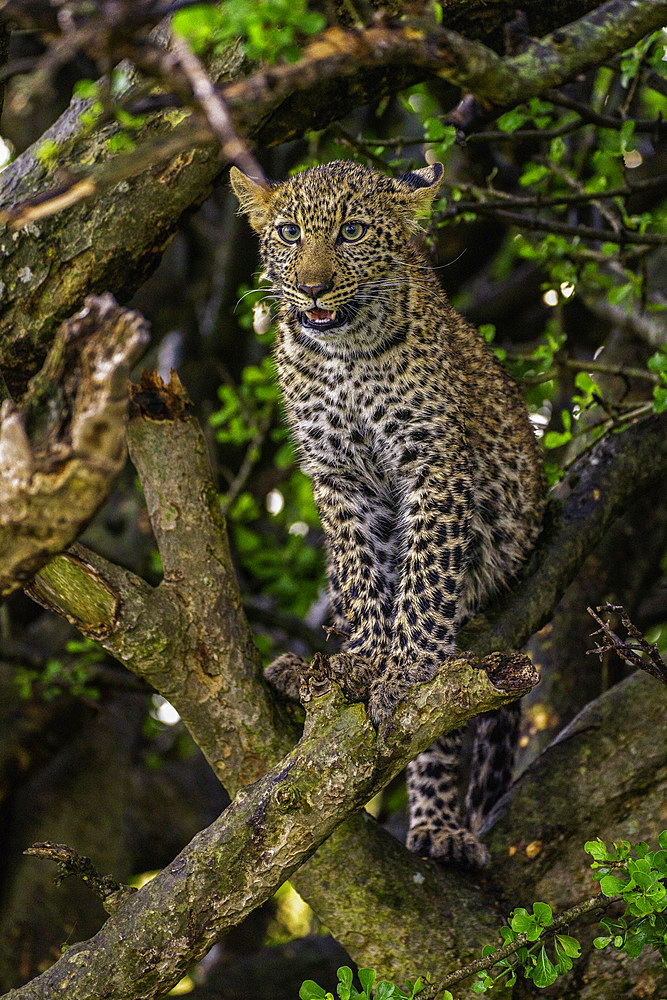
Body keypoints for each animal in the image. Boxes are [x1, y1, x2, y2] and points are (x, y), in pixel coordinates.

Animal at [232, 158, 544, 868]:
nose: (313, 288)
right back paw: (302, 668)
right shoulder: (338, 478)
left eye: (351, 231)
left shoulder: (434, 465)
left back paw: (440, 828)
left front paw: (403, 667)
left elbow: (424, 582)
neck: (344, 352)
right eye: (289, 232)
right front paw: (367, 658)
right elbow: (360, 572)